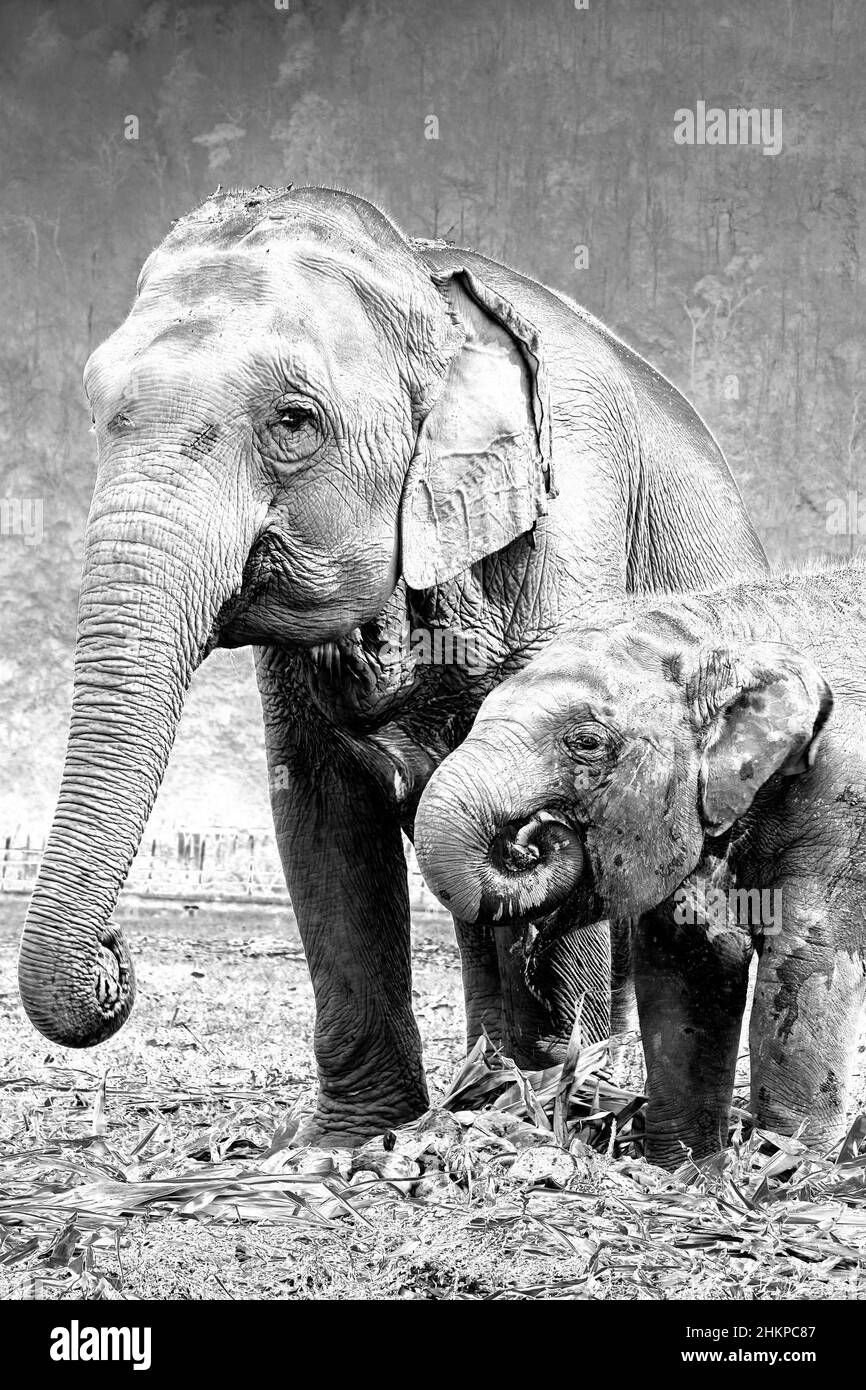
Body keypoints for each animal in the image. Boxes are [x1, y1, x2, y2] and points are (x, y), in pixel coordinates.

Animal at [18, 185, 768, 1145]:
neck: (424, 286)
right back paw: (486, 1085)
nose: (117, 952)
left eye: (292, 421)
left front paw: (548, 1121)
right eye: (96, 408)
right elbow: (320, 816)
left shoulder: (573, 520)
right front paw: (347, 1141)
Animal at [415, 561, 866, 1167]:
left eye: (586, 742)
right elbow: (685, 966)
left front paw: (785, 1169)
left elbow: (805, 963)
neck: (721, 634)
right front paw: (689, 1171)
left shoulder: (844, 801)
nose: (531, 837)